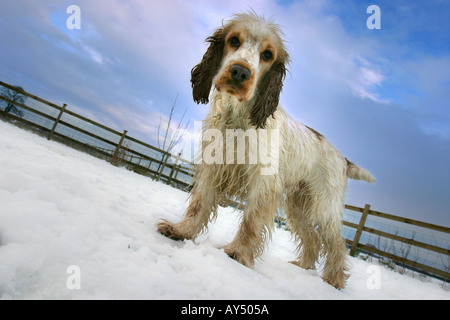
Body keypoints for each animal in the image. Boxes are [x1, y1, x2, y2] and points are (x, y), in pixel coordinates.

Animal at [156, 12, 374, 288]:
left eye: (268, 55)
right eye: (234, 40)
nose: (239, 72)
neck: (237, 118)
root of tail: (344, 159)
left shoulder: (263, 181)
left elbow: (251, 220)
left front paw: (237, 253)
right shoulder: (214, 169)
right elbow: (199, 205)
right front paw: (181, 231)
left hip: (323, 207)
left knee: (337, 244)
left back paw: (334, 280)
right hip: (298, 207)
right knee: (313, 240)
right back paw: (302, 267)